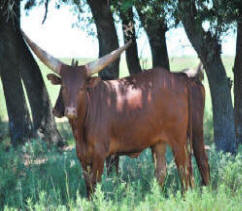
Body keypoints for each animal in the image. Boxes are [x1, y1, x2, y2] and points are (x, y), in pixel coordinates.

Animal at [22, 31, 210, 198]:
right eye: (64, 87)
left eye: (82, 87)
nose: (70, 111)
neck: (81, 128)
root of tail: (182, 78)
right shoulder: (82, 156)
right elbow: (88, 188)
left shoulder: (100, 155)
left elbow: (95, 186)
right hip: (160, 141)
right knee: (163, 171)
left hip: (182, 138)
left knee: (189, 168)